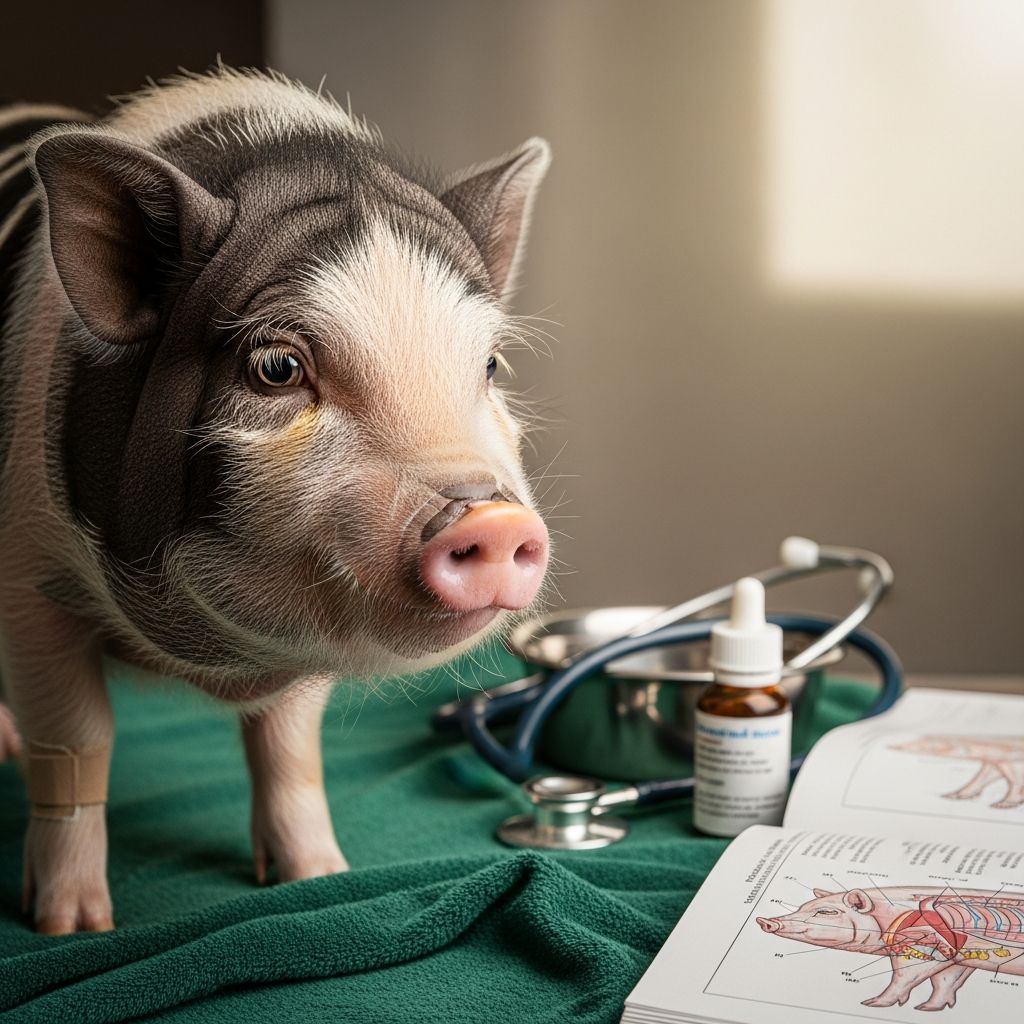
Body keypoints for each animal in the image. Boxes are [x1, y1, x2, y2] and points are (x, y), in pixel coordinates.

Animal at [0, 67, 553, 933]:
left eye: (490, 364)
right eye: (278, 369)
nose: (493, 519)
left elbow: (288, 741)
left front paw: (318, 878)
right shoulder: (29, 579)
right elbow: (79, 734)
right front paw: (72, 926)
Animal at [757, 886, 1024, 1012]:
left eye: (826, 912)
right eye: (803, 906)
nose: (764, 920)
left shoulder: (924, 949)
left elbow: (903, 976)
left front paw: (871, 1004)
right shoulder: (957, 958)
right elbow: (945, 981)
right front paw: (925, 1009)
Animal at [892, 736, 1024, 809]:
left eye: (931, 747)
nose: (897, 746)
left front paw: (1008, 802)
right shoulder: (995, 760)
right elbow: (983, 776)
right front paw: (960, 794)